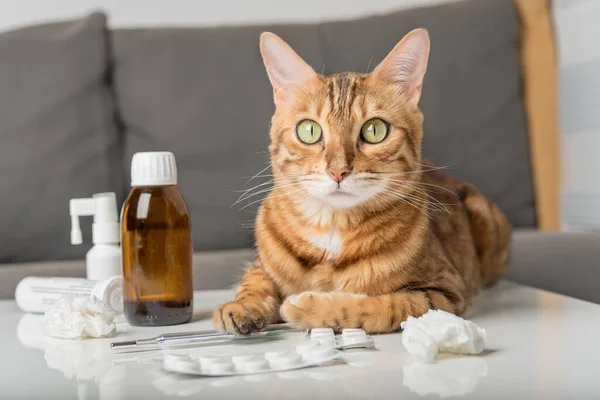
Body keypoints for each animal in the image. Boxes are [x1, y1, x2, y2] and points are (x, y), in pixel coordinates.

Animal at [213, 28, 508, 334]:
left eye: (374, 130)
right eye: (309, 130)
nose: (338, 171)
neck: (332, 228)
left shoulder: (442, 294)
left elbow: (381, 305)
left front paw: (307, 306)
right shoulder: (261, 261)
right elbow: (256, 278)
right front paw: (242, 305)